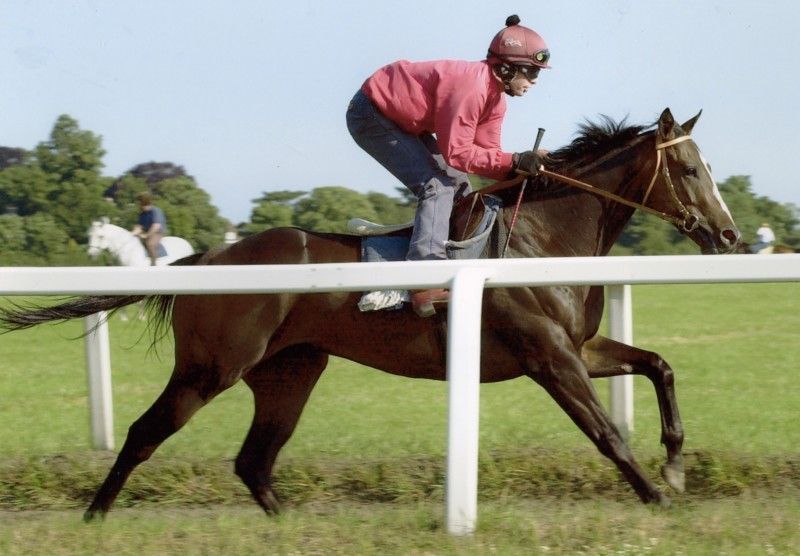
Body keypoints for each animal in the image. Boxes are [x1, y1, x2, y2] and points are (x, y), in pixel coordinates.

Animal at [0, 108, 740, 521]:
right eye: (691, 171)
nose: (729, 235)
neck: (542, 237)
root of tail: (209, 259)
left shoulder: (577, 346)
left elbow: (658, 365)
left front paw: (676, 463)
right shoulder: (548, 357)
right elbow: (606, 435)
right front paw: (658, 498)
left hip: (290, 370)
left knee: (254, 461)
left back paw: (287, 525)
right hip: (210, 367)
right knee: (146, 433)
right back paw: (95, 516)